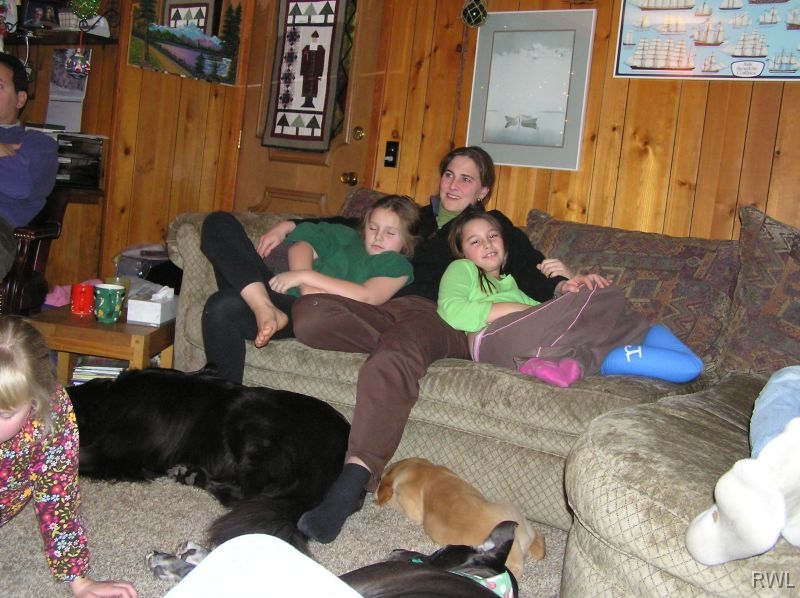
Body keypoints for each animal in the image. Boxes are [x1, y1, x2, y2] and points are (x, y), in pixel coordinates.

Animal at [67, 366, 350, 551]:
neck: (109, 400)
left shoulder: (121, 450)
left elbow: (82, 457)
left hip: (249, 421)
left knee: (246, 495)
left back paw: (195, 477)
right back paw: (190, 474)